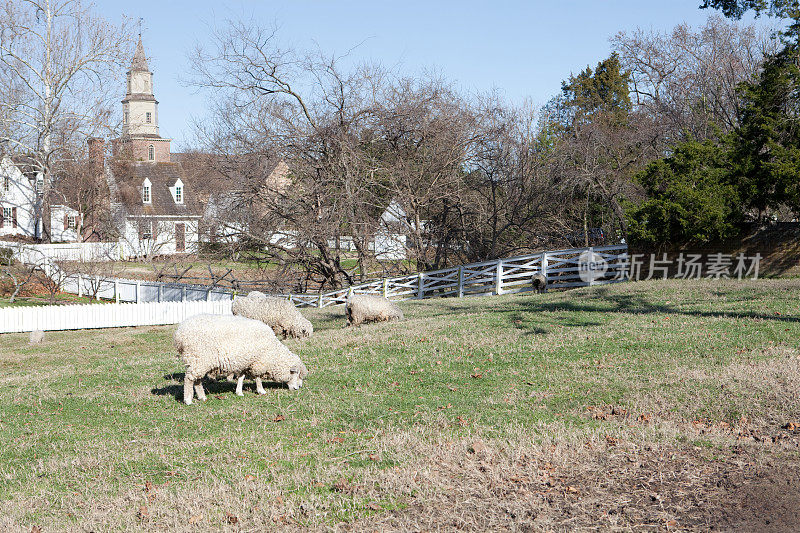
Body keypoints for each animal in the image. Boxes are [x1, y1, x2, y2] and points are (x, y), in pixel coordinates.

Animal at [173, 312, 308, 404]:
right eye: (296, 374)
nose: (298, 388)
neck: (273, 352)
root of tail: (179, 333)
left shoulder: (245, 362)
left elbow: (241, 377)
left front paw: (239, 392)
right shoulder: (257, 361)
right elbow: (258, 377)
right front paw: (261, 390)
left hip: (199, 361)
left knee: (197, 380)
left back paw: (202, 397)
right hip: (198, 357)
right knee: (189, 379)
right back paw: (188, 400)